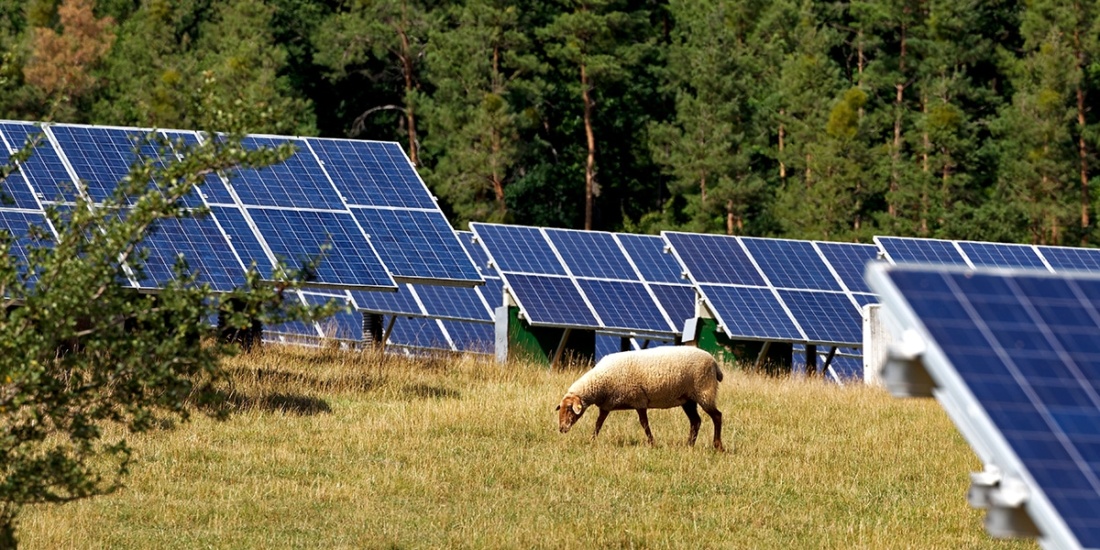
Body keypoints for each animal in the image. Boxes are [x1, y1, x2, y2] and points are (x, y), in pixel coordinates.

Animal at [554, 347, 726, 451]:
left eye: (569, 408)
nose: (561, 429)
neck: (601, 381)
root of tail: (714, 363)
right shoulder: (607, 405)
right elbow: (598, 423)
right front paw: (592, 440)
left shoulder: (639, 400)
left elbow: (644, 424)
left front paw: (652, 443)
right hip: (688, 399)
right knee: (696, 421)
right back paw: (689, 445)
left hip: (704, 392)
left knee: (717, 416)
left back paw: (717, 446)